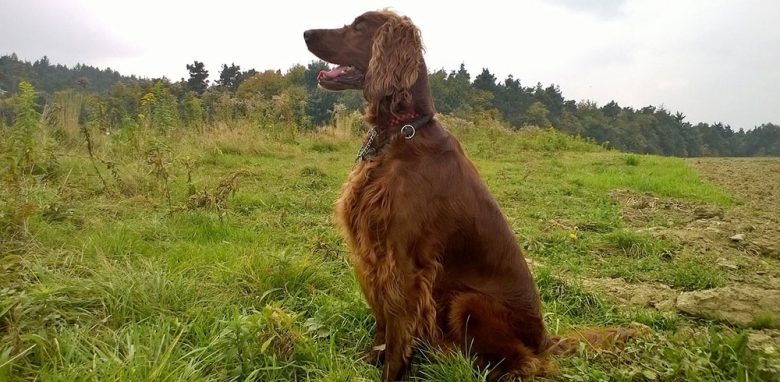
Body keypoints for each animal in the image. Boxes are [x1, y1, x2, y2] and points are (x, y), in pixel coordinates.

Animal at [304, 9, 632, 382]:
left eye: (358, 27)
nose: (306, 33)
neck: (401, 133)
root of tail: (546, 340)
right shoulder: (374, 255)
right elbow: (382, 325)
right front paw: (368, 361)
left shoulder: (403, 261)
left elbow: (397, 330)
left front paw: (391, 371)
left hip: (468, 302)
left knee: (525, 364)